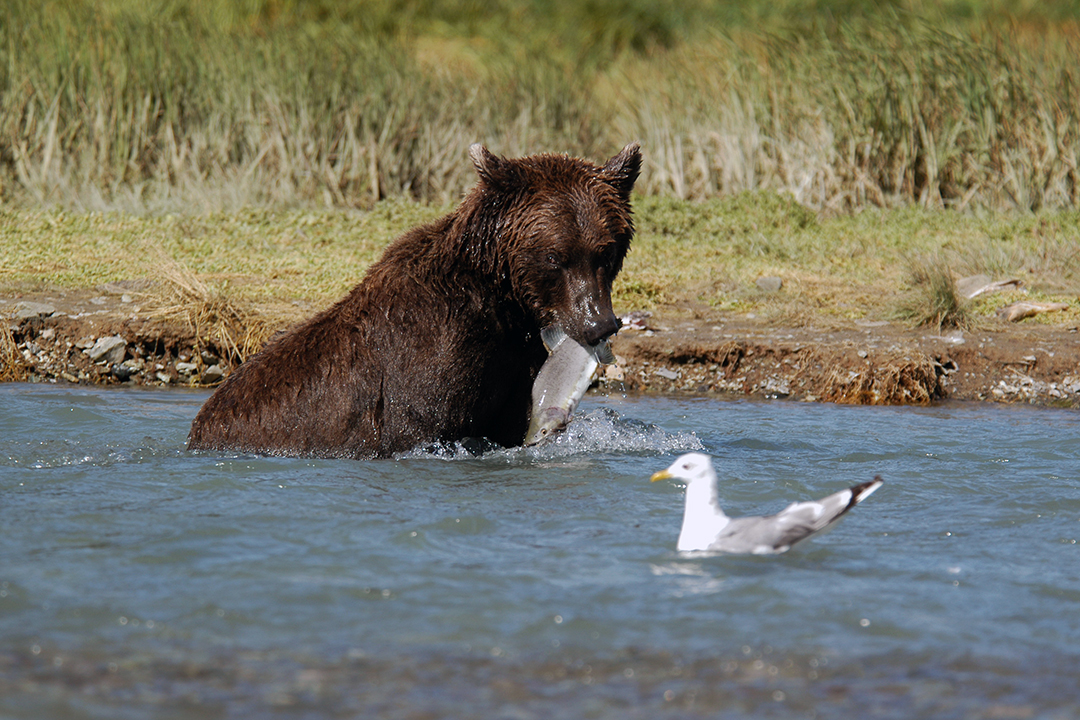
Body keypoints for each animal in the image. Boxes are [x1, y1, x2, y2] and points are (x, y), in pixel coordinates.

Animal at [187, 142, 642, 459]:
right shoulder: (427, 358)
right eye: (554, 256)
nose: (599, 324)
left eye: (606, 252)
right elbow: (418, 422)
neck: (499, 302)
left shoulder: (514, 357)